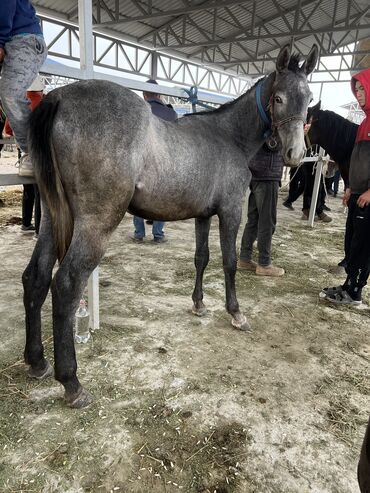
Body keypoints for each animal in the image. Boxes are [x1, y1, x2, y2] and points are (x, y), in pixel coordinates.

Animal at [23, 44, 318, 406]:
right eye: (278, 98)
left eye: (309, 98)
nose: (295, 154)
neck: (229, 137)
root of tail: (59, 96)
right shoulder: (231, 211)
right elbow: (229, 262)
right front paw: (236, 313)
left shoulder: (204, 215)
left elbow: (202, 258)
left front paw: (199, 304)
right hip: (96, 222)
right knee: (65, 285)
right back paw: (72, 383)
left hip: (53, 218)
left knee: (35, 277)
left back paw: (37, 361)